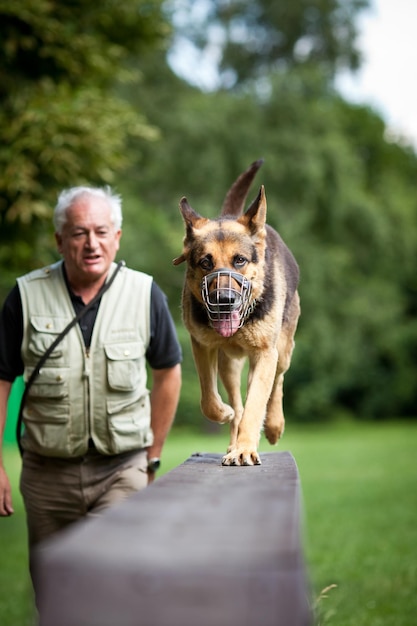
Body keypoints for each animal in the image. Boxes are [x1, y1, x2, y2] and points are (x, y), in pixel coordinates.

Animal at [173, 161, 300, 464]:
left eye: (239, 260)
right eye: (205, 262)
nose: (224, 300)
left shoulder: (265, 354)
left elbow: (256, 404)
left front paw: (245, 449)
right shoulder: (202, 346)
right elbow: (210, 400)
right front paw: (226, 418)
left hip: (281, 352)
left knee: (276, 383)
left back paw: (273, 426)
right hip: (229, 365)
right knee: (237, 403)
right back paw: (233, 435)